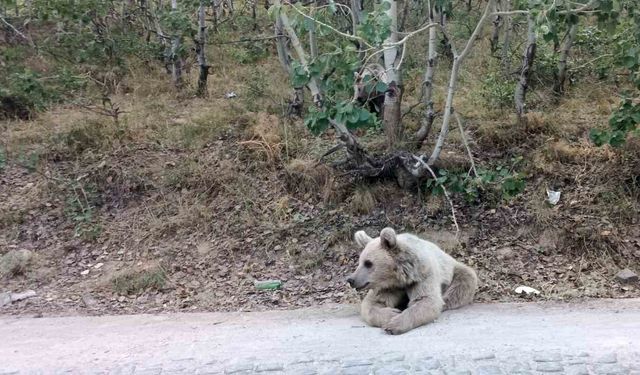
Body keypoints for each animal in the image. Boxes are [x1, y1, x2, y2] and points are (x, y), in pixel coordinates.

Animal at [348, 228, 478, 336]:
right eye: (360, 262)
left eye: (368, 263)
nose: (351, 279)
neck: (399, 277)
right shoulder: (388, 287)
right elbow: (373, 303)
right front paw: (392, 313)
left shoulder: (422, 275)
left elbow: (427, 300)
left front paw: (394, 324)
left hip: (455, 270)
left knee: (462, 284)